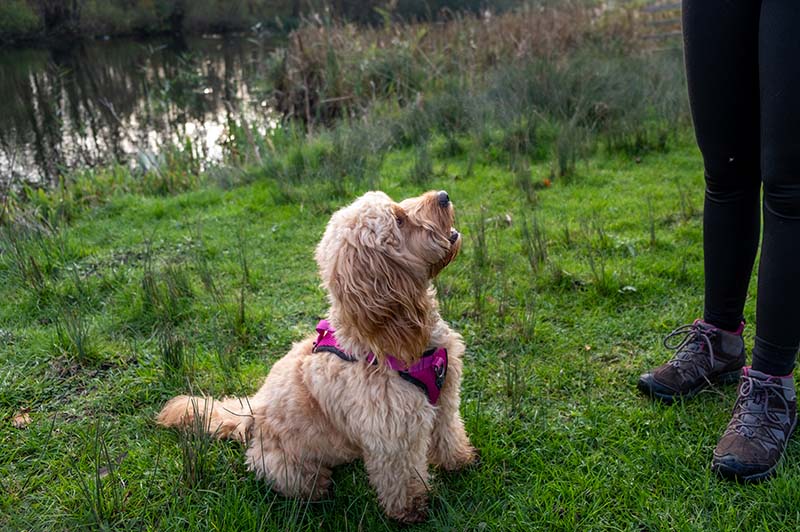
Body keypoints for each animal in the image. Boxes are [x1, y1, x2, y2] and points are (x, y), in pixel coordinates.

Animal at [159, 189, 478, 520]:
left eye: (396, 204)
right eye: (399, 221)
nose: (444, 195)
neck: (381, 339)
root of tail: (253, 410)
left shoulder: (445, 399)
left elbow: (448, 433)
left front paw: (460, 461)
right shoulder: (393, 437)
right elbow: (403, 479)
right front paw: (413, 511)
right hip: (286, 467)